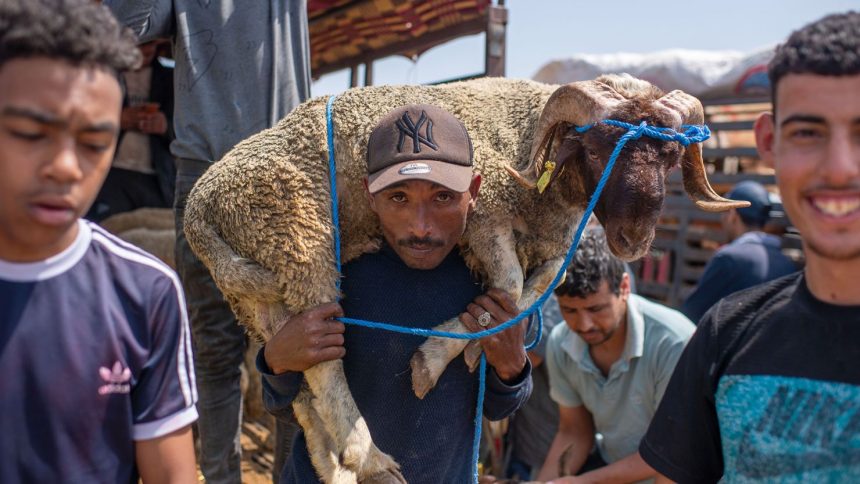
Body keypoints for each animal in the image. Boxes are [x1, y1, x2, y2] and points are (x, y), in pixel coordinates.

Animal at [183, 73, 744, 482]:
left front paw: (472, 343)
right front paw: (435, 358)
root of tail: (199, 205)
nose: (633, 241)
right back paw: (368, 457)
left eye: (671, 157)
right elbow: (512, 286)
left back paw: (336, 466)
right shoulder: (485, 211)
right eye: (596, 149)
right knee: (324, 363)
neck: (529, 144)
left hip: (258, 282)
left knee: (299, 386)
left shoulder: (554, 249)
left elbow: (526, 299)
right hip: (298, 233)